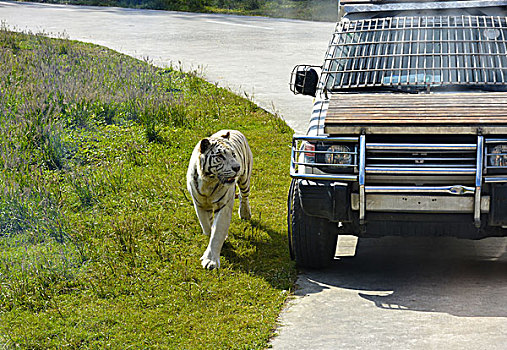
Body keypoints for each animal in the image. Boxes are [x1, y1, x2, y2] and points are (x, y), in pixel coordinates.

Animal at [188, 130, 253, 270]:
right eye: (220, 156)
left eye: (233, 154)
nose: (237, 167)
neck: (208, 181)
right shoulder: (199, 204)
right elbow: (207, 227)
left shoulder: (224, 206)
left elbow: (217, 233)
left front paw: (210, 261)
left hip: (245, 178)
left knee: (244, 196)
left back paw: (245, 213)